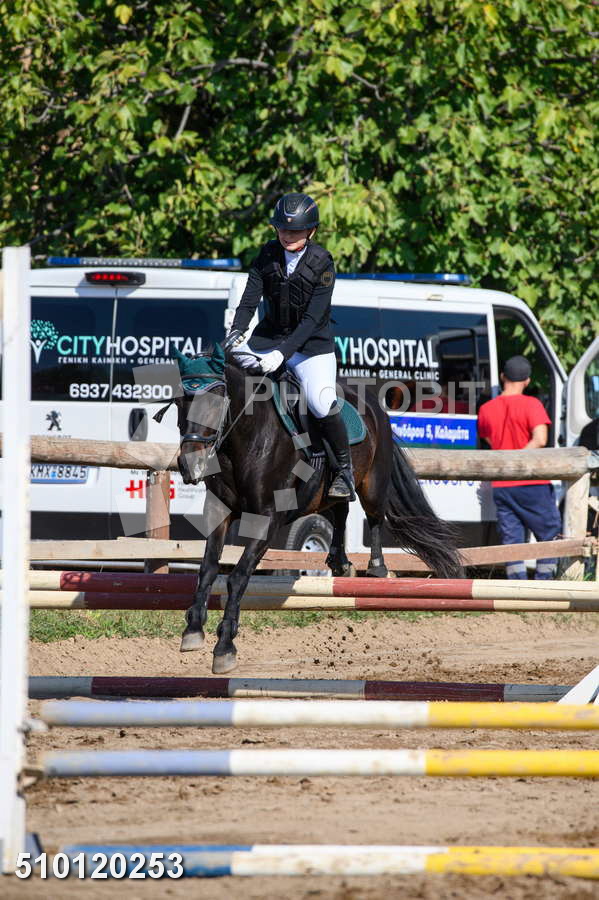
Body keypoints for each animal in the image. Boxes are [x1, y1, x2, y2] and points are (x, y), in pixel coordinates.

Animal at [167, 343, 462, 674]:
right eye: (180, 401)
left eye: (217, 400)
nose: (190, 465)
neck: (246, 438)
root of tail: (374, 404)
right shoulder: (219, 510)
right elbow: (207, 567)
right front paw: (193, 630)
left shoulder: (267, 519)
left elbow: (238, 576)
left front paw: (225, 646)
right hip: (329, 490)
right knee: (340, 507)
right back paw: (340, 561)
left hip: (373, 484)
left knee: (373, 516)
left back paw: (376, 567)